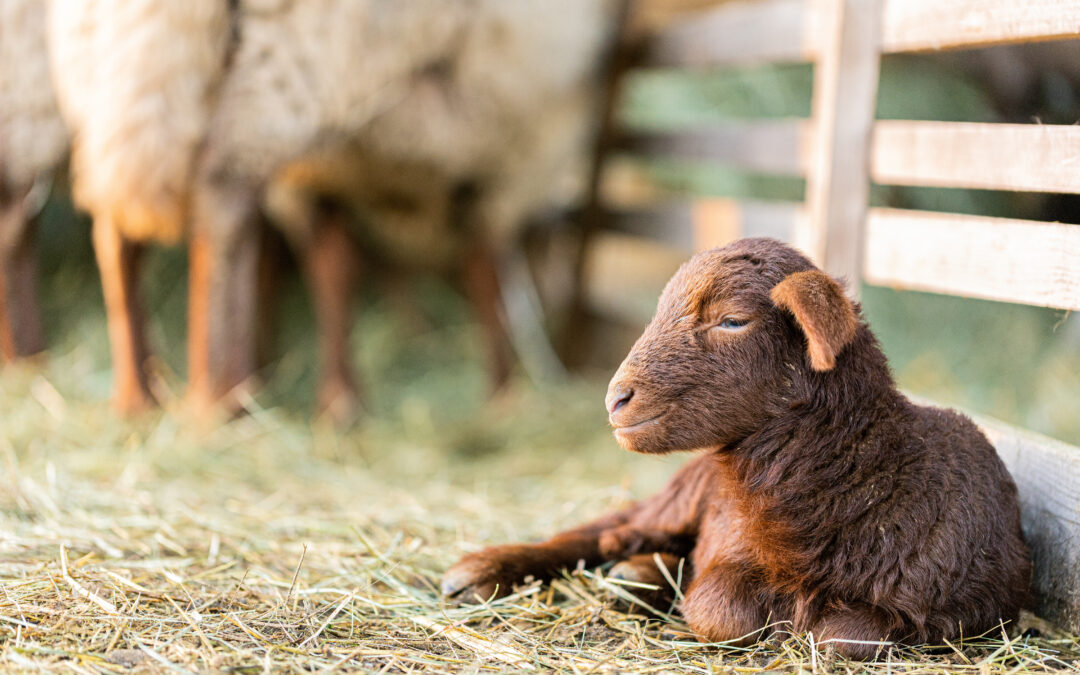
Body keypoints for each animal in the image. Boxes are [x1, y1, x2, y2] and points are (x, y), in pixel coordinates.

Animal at [442, 238, 1032, 656]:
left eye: (732, 320)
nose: (615, 399)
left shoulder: (957, 610)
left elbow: (846, 635)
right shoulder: (726, 556)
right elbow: (722, 608)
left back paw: (637, 575)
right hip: (684, 493)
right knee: (604, 530)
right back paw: (484, 572)